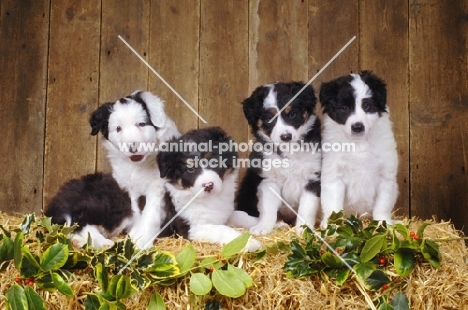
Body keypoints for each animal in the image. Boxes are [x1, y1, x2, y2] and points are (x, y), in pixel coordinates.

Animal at [90, 91, 181, 248]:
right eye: (118, 128)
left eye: (141, 124)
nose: (132, 147)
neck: (138, 165)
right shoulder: (127, 187)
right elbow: (135, 213)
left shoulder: (157, 187)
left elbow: (150, 214)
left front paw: (140, 241)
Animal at [234, 82, 322, 235]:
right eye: (269, 119)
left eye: (292, 114)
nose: (286, 137)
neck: (289, 150)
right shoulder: (269, 180)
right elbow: (268, 208)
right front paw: (263, 227)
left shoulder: (313, 177)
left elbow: (307, 208)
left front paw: (303, 230)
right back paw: (279, 225)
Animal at [320, 71, 400, 226]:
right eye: (344, 108)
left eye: (366, 105)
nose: (357, 127)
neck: (358, 143)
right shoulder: (334, 177)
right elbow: (333, 206)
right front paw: (332, 226)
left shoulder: (385, 177)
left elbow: (382, 205)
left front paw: (384, 224)